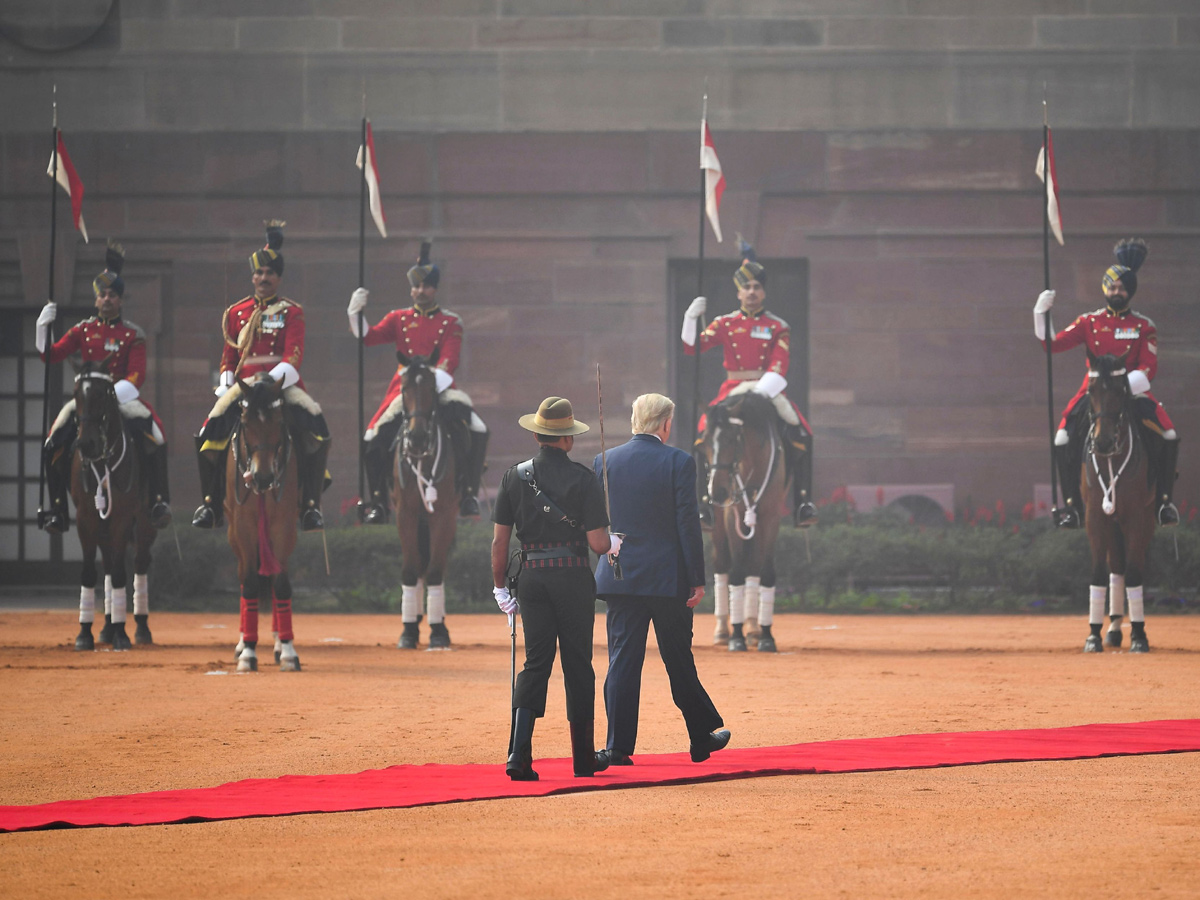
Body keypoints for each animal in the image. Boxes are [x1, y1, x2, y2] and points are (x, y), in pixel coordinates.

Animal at [69, 362, 157, 652]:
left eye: (102, 393)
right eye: (76, 394)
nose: (86, 444)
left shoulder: (121, 518)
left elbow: (120, 573)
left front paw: (122, 634)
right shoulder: (85, 518)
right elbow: (89, 572)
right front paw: (84, 633)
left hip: (145, 523)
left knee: (139, 564)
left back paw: (140, 627)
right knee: (107, 564)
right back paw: (107, 626)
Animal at [700, 391, 792, 652]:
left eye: (733, 439)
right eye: (705, 442)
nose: (717, 492)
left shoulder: (771, 517)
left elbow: (765, 571)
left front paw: (766, 636)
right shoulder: (733, 515)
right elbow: (736, 572)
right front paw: (736, 636)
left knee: (754, 566)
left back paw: (753, 628)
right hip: (719, 527)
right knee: (721, 566)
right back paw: (724, 630)